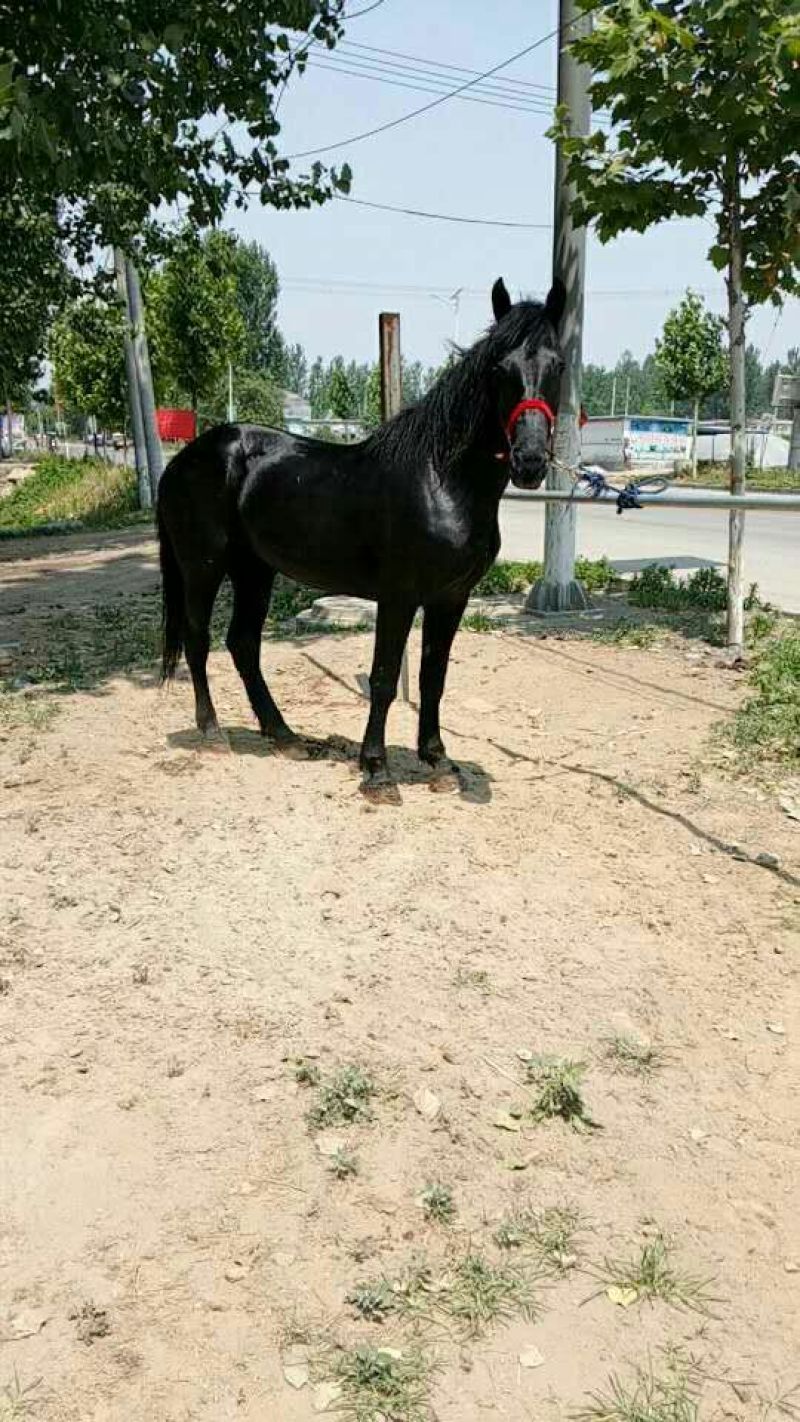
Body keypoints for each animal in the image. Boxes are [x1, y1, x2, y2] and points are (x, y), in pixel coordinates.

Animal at [157, 275, 566, 795]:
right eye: (500, 368)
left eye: (558, 365)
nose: (529, 461)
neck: (442, 480)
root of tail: (183, 459)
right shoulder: (398, 597)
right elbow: (385, 677)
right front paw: (376, 770)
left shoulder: (451, 598)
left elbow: (433, 677)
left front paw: (438, 760)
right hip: (203, 567)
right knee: (197, 638)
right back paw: (212, 733)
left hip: (255, 570)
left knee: (243, 644)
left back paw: (285, 736)